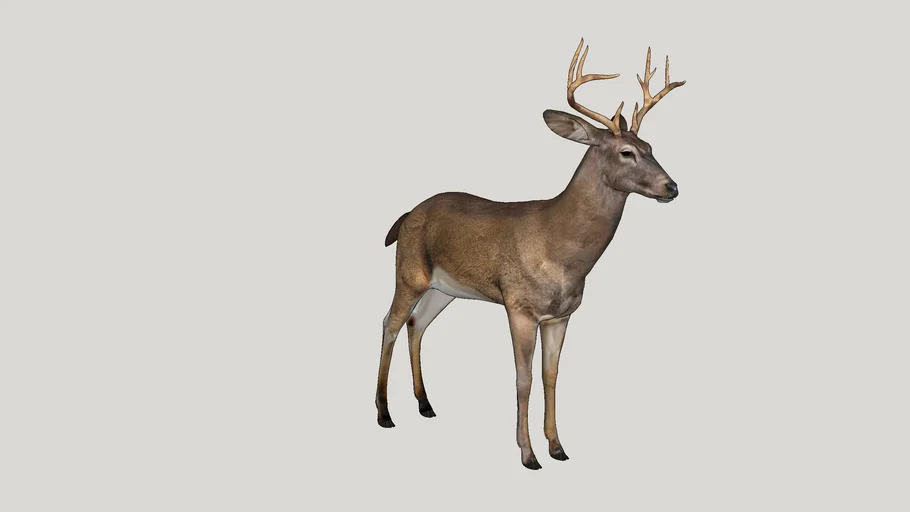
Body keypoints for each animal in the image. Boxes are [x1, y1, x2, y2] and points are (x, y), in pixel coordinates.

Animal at [375, 38, 686, 470]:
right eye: (627, 152)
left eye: (651, 147)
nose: (672, 187)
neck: (561, 249)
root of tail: (405, 215)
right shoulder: (519, 305)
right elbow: (523, 378)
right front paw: (528, 454)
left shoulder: (561, 315)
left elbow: (550, 377)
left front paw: (557, 447)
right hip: (409, 271)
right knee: (388, 322)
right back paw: (384, 413)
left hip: (445, 288)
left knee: (416, 324)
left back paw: (425, 405)